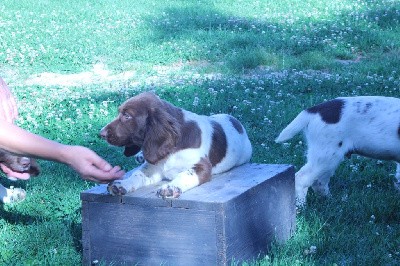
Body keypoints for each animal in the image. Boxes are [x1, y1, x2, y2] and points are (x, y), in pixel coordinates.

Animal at [100, 91, 252, 197]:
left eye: (127, 116)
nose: (101, 133)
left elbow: (185, 174)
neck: (171, 152)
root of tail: (235, 121)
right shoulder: (153, 167)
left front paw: (170, 187)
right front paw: (122, 184)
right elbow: (138, 174)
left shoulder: (202, 166)